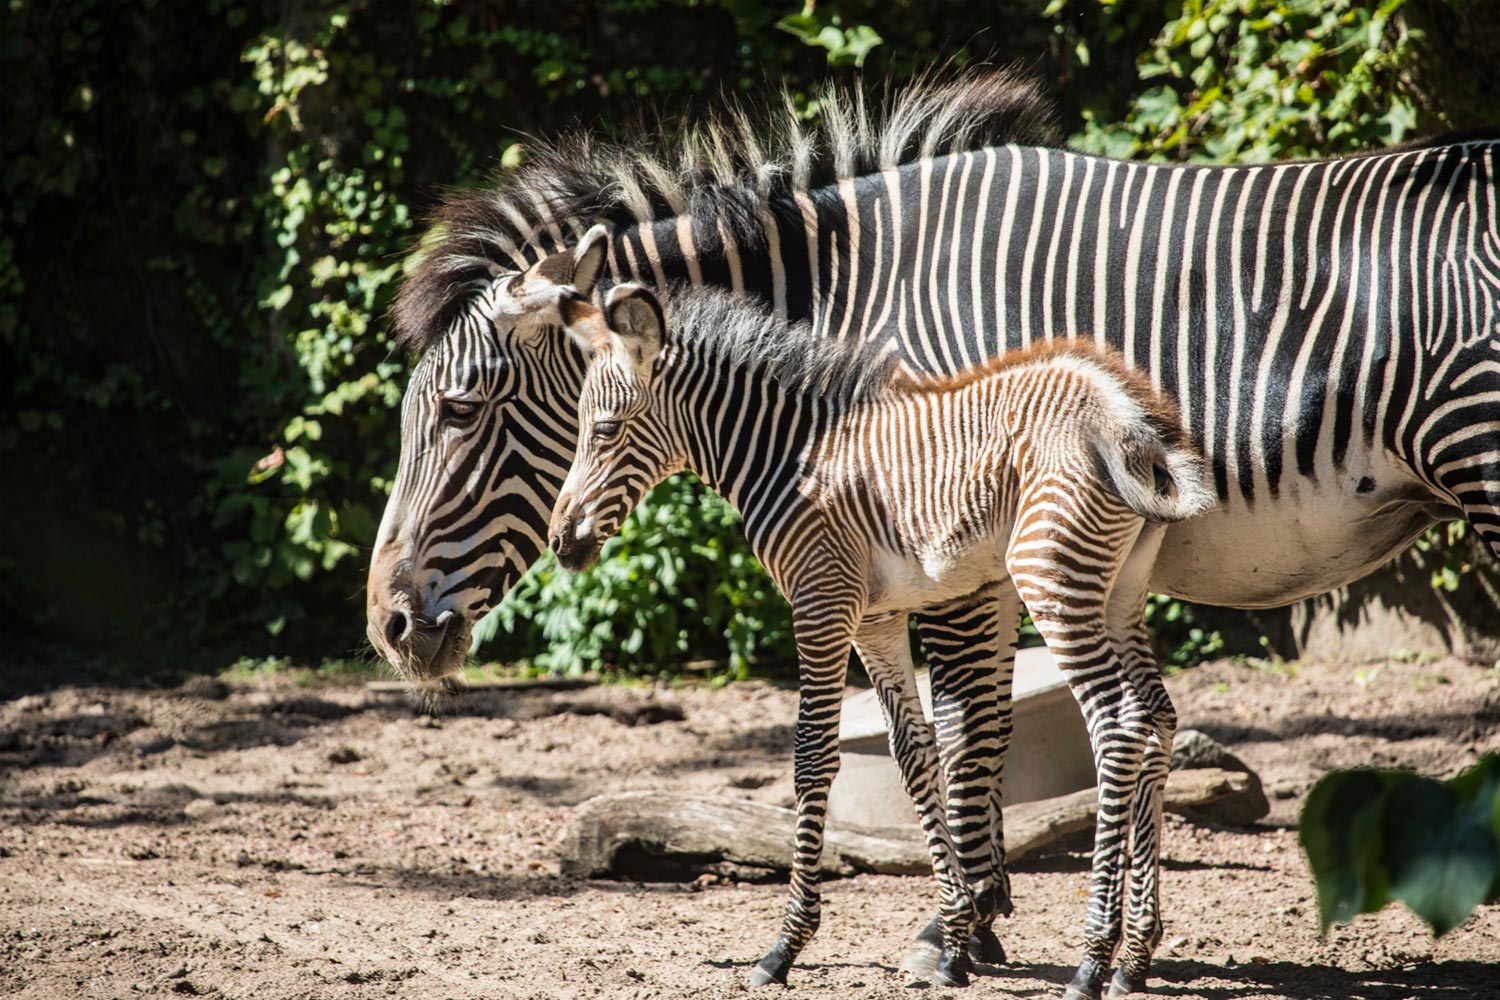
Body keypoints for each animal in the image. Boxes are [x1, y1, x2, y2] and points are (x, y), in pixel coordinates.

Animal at [549, 277, 1218, 995]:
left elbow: (813, 757)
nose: (560, 544)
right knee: (1154, 717)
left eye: (604, 429)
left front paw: (786, 945)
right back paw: (1134, 956)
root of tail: (1125, 412)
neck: (785, 457)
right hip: (1120, 590)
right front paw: (954, 937)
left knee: (1115, 726)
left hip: (1050, 579)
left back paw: (1093, 959)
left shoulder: (819, 603)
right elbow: (912, 751)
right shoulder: (875, 618)